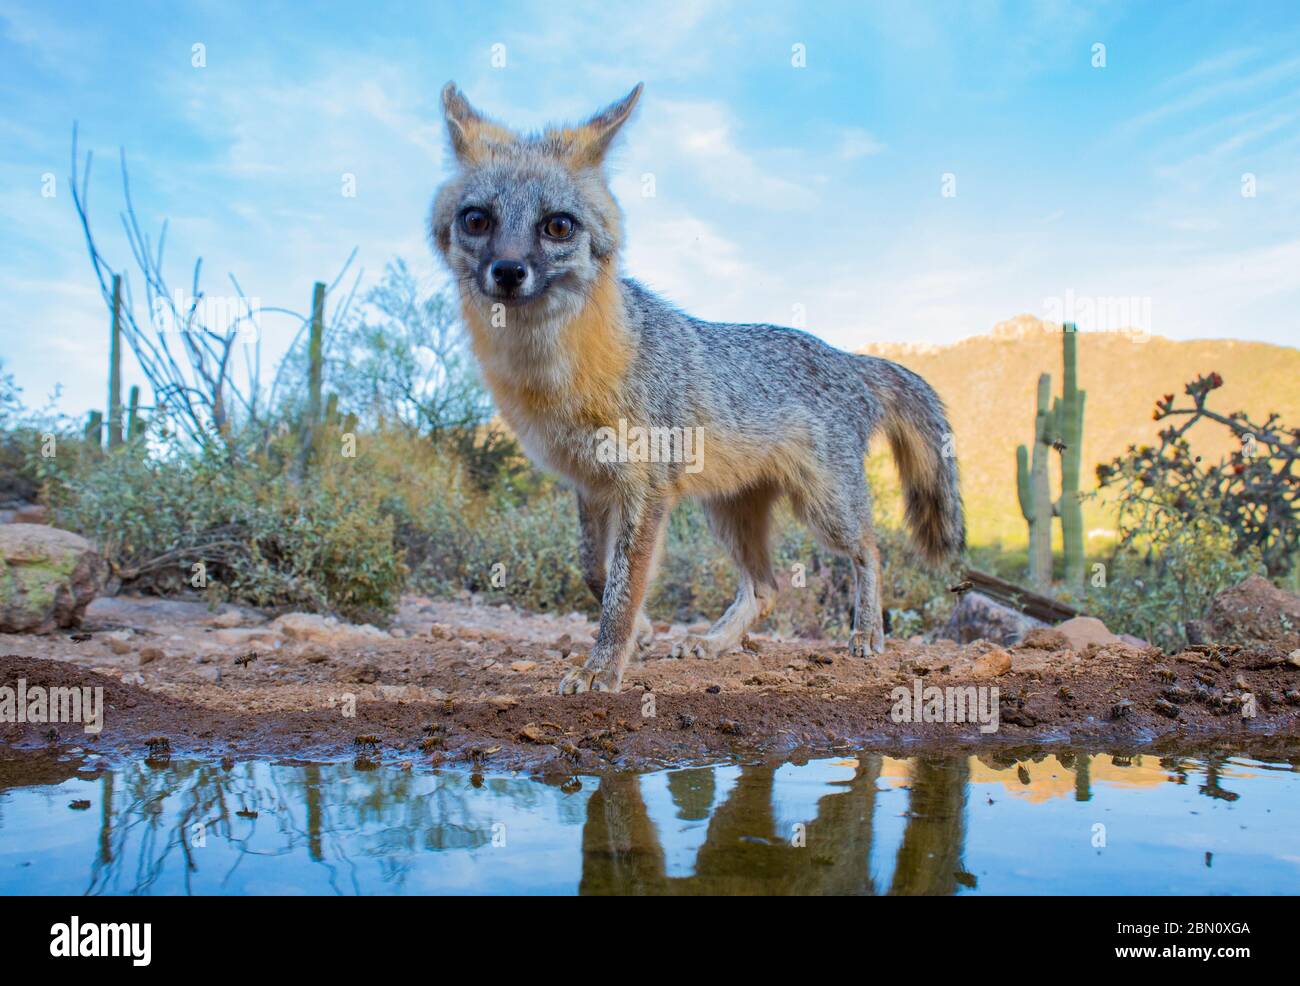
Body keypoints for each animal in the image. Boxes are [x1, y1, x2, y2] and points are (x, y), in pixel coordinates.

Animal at [429, 82, 965, 695]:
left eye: (557, 226)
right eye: (476, 219)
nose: (509, 271)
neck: (557, 374)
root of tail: (845, 358)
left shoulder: (646, 488)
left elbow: (622, 587)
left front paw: (602, 667)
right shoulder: (591, 485)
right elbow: (595, 570)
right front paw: (639, 634)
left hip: (824, 508)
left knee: (870, 550)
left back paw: (866, 632)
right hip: (727, 514)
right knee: (766, 588)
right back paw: (713, 642)